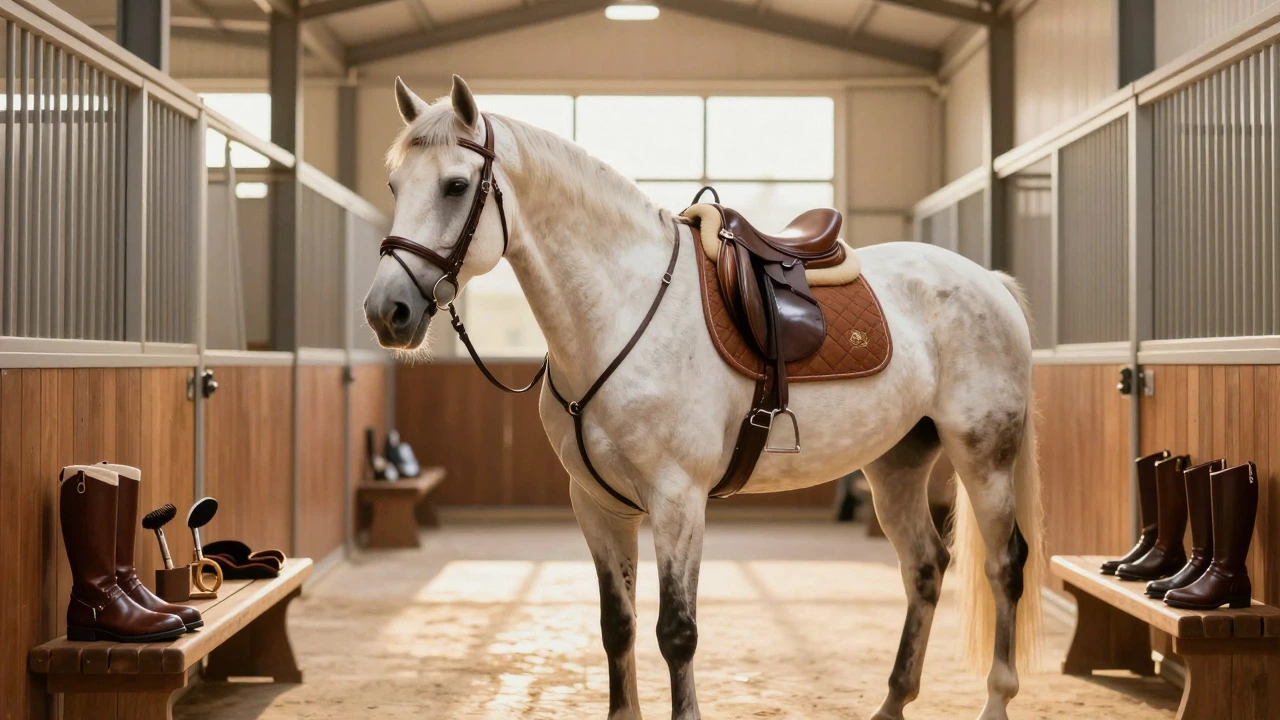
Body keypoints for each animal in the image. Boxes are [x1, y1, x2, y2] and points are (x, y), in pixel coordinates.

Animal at [363, 75, 1044, 720]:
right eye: (395, 185)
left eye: (455, 186)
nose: (385, 312)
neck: (622, 308)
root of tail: (989, 282)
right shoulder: (596, 505)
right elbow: (618, 627)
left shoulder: (677, 499)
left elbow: (677, 633)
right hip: (897, 462)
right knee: (925, 567)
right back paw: (892, 702)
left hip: (983, 457)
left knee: (1005, 563)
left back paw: (996, 700)